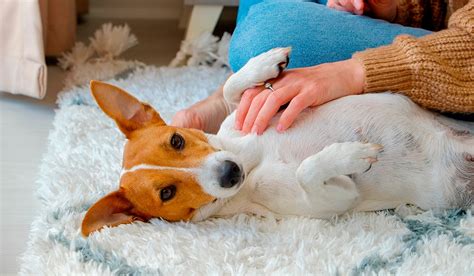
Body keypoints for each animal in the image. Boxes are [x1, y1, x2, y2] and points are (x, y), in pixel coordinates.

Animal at [79, 47, 472, 235]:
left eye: (177, 140)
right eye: (166, 193)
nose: (229, 172)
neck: (251, 159)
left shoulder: (240, 120)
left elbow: (232, 89)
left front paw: (265, 64)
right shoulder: (335, 199)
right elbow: (308, 172)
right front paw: (350, 154)